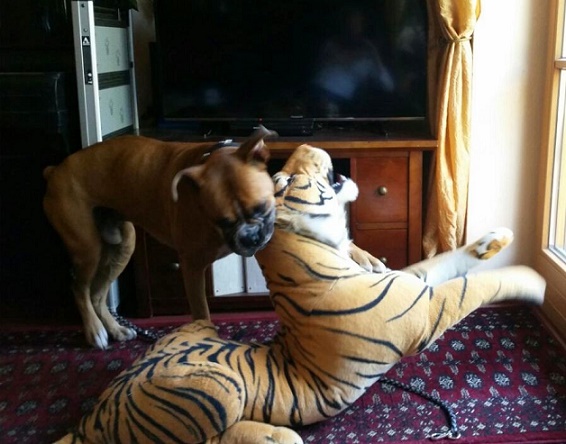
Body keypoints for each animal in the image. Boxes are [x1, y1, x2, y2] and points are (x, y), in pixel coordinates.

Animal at [43, 126, 277, 349]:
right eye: (224, 222)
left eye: (261, 207)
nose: (250, 237)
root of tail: (55, 170)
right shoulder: (192, 268)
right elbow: (202, 312)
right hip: (88, 249)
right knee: (80, 289)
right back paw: (95, 331)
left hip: (123, 245)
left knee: (97, 294)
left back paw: (116, 329)